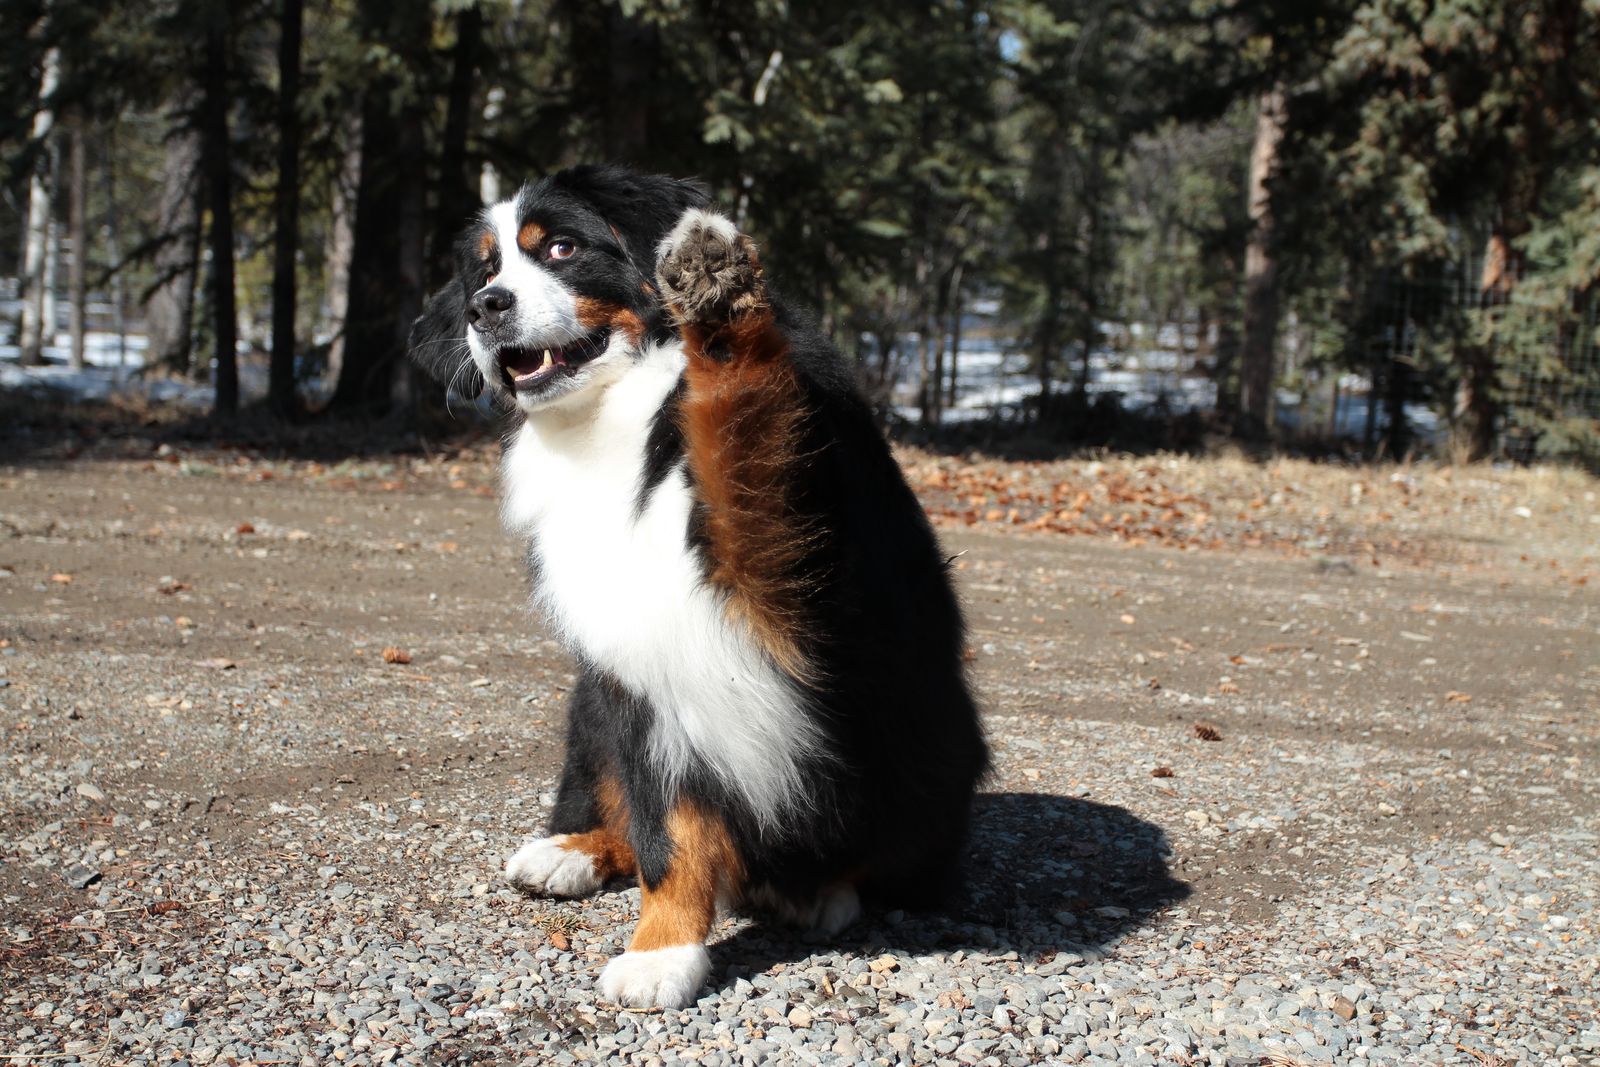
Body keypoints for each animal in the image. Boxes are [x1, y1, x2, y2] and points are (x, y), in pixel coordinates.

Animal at [409, 165, 988, 1009]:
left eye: (562, 247)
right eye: (483, 270)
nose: (488, 307)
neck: (609, 420)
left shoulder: (790, 577)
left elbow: (740, 431)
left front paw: (716, 297)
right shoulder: (639, 676)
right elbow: (665, 829)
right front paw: (664, 950)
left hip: (930, 741)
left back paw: (814, 891)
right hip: (590, 699)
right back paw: (570, 848)